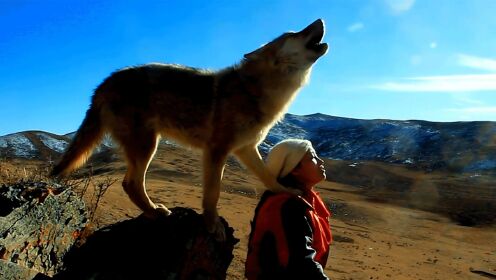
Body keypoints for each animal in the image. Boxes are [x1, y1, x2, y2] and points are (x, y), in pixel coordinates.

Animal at [50, 19, 330, 238]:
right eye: (293, 34)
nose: (320, 19)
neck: (255, 91)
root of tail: (103, 83)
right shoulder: (216, 150)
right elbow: (213, 193)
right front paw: (211, 224)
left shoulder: (247, 149)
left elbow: (268, 177)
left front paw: (288, 192)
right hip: (147, 146)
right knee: (130, 184)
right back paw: (156, 211)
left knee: (130, 183)